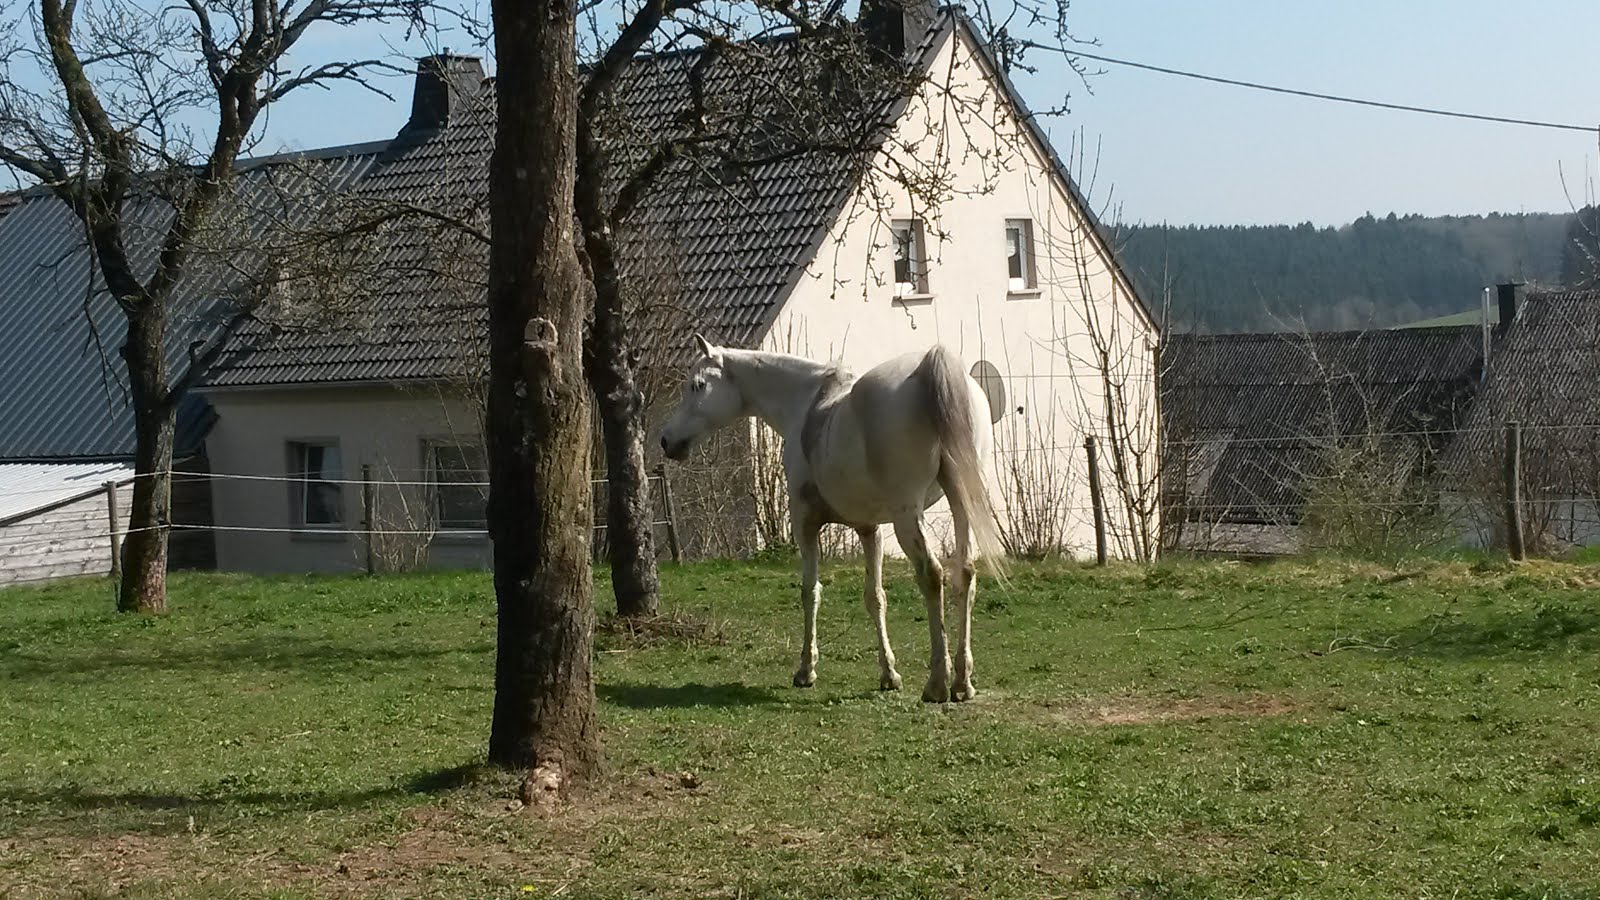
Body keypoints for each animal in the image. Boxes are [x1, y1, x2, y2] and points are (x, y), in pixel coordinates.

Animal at [659, 334, 1004, 701]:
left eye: (697, 384)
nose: (666, 440)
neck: (807, 404)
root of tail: (929, 368)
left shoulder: (805, 523)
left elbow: (810, 592)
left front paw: (806, 670)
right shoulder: (869, 529)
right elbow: (875, 597)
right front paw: (889, 674)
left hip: (907, 515)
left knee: (931, 574)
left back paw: (938, 683)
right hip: (961, 500)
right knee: (964, 573)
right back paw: (962, 682)